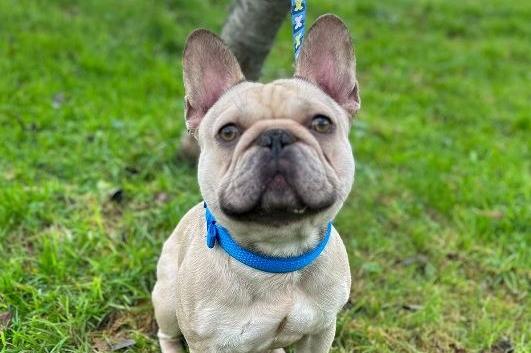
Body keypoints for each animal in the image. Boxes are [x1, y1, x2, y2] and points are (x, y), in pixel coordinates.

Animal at [154, 14, 362, 352]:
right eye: (228, 132)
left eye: (321, 124)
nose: (275, 136)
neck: (278, 255)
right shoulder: (207, 344)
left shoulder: (321, 330)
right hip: (167, 301)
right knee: (167, 333)